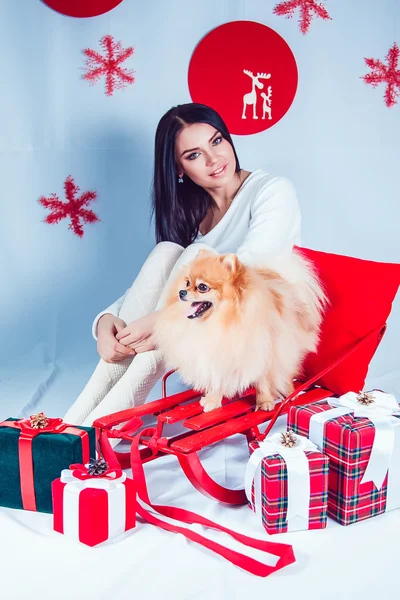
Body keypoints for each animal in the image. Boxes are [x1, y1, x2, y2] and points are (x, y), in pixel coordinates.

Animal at [154, 248, 328, 412]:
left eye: (203, 287)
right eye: (187, 283)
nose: (181, 292)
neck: (220, 321)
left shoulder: (262, 351)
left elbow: (263, 381)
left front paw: (264, 402)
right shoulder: (216, 356)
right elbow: (216, 379)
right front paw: (212, 401)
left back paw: (289, 391)